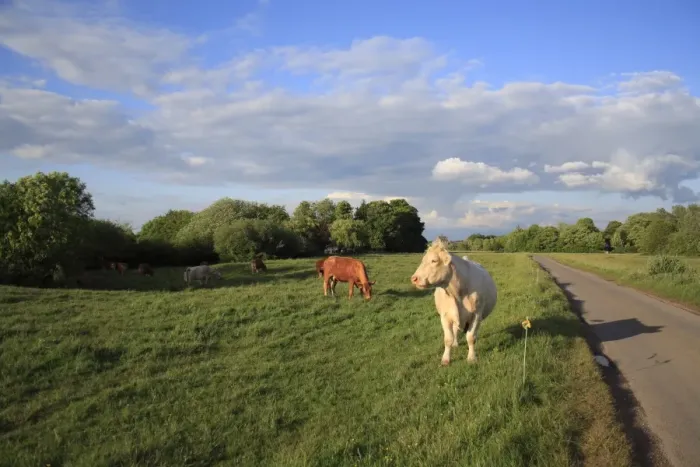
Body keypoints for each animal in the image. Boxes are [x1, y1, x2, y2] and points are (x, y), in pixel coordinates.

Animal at [410, 237, 498, 366]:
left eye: (434, 260)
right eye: (423, 260)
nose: (414, 278)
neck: (457, 293)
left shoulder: (476, 315)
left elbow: (471, 337)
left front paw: (471, 358)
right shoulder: (445, 316)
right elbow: (448, 339)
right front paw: (446, 359)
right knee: (455, 330)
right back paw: (455, 344)